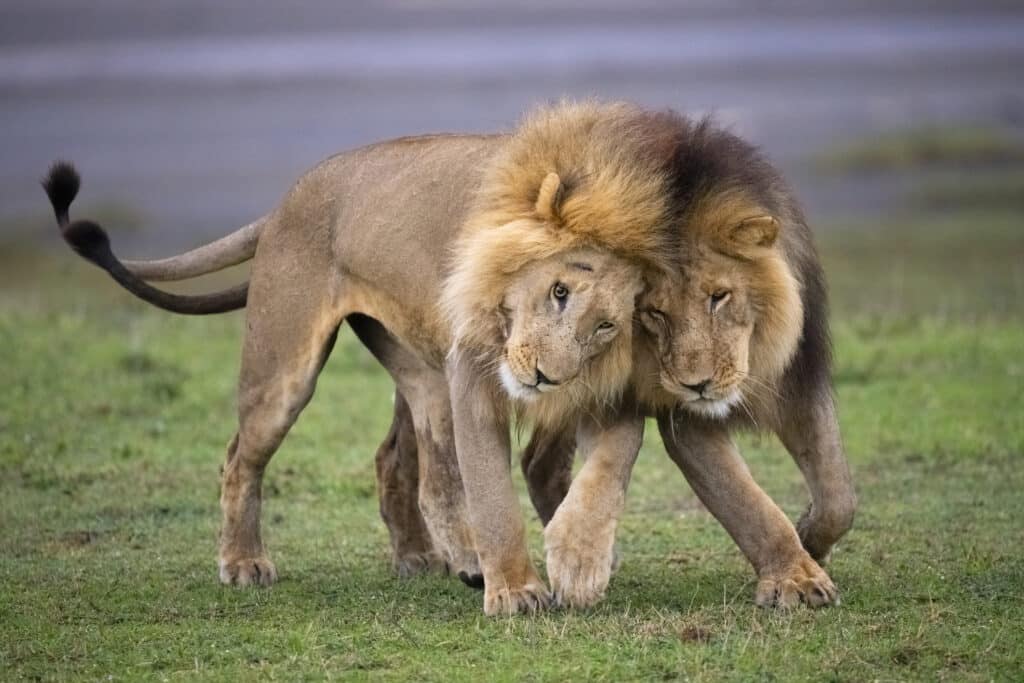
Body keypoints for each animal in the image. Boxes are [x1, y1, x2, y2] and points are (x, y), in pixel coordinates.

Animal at [41, 102, 679, 618]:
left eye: (608, 325)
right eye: (559, 292)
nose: (548, 374)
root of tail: (286, 200)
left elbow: (584, 466)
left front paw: (578, 560)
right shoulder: (475, 367)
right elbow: (495, 491)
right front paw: (517, 591)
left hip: (417, 364)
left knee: (408, 460)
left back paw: (427, 556)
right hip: (288, 369)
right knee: (242, 457)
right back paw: (246, 563)